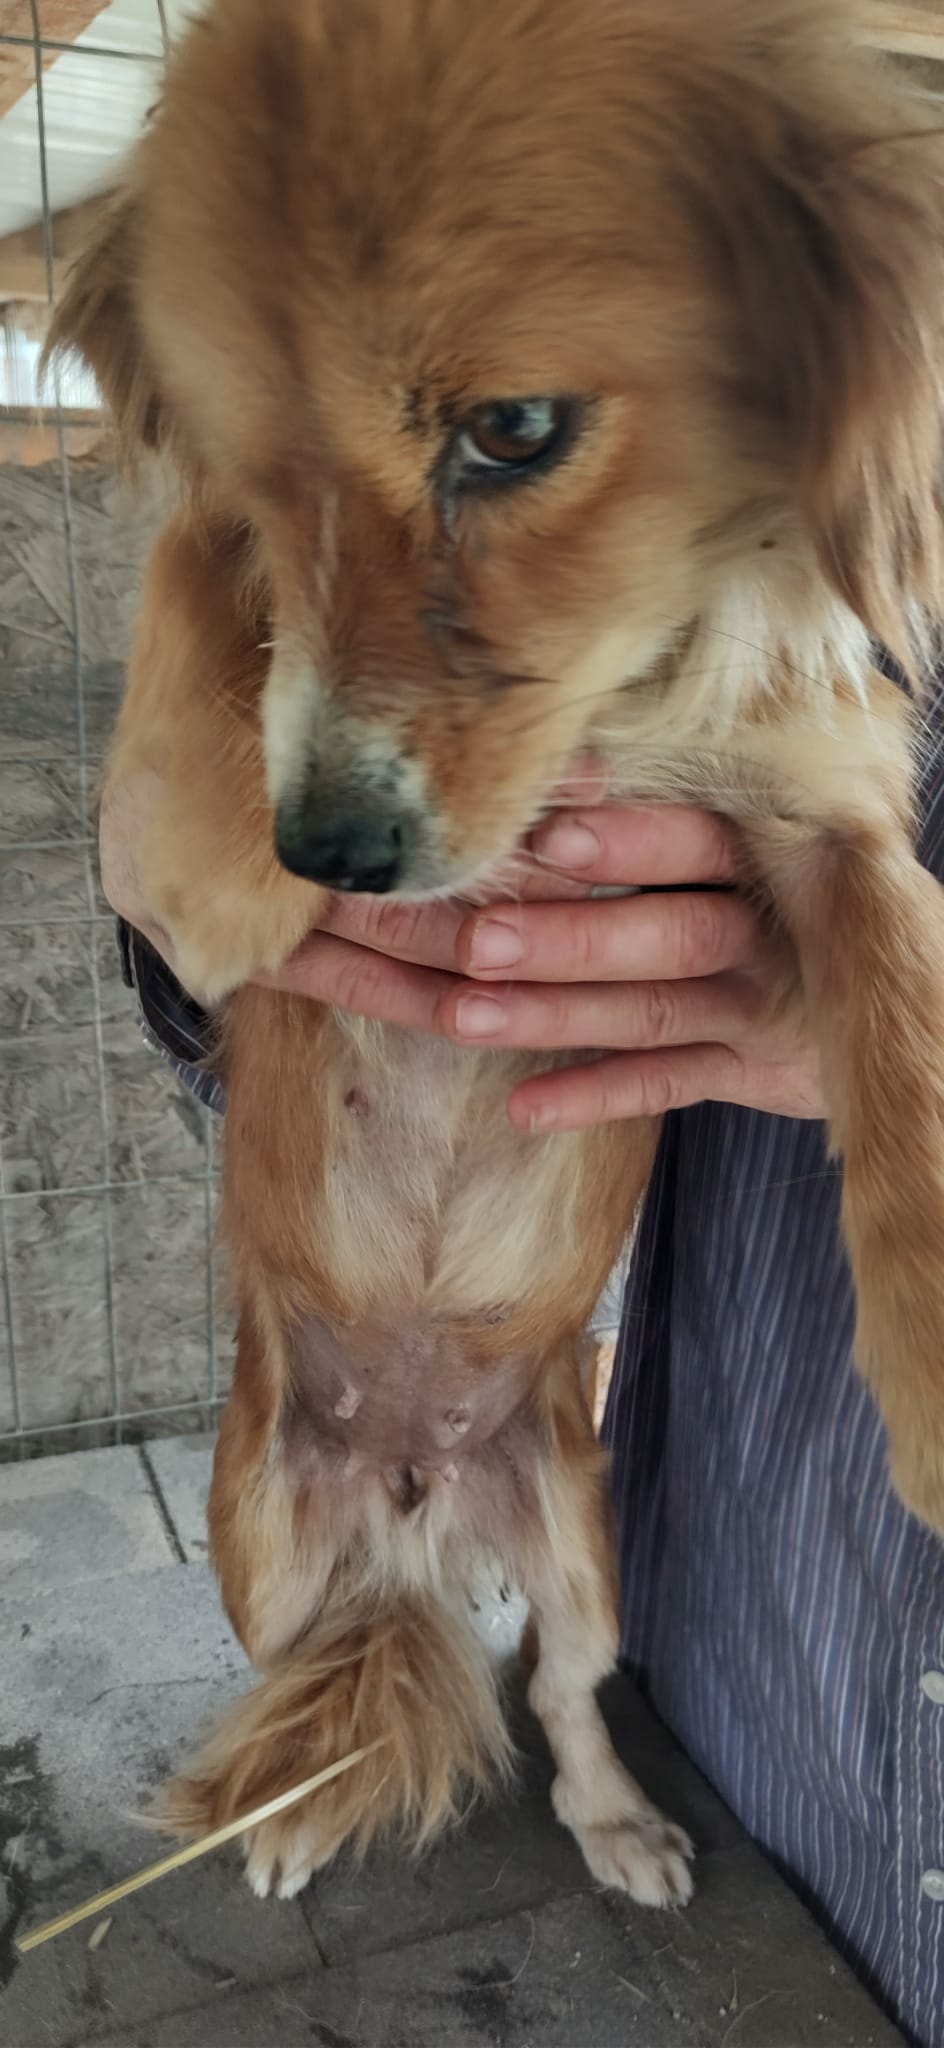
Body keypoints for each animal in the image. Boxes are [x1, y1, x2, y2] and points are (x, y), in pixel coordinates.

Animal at [48, 0, 944, 1908]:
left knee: (561, 1685)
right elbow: (193, 576)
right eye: (250, 458)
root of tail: (410, 1492)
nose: (327, 852)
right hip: (259, 1541)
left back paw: (613, 1819)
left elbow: (903, 1001)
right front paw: (226, 827)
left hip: (585, 1534)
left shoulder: (819, 824)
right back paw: (289, 1810)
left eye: (512, 433)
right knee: (320, 1660)